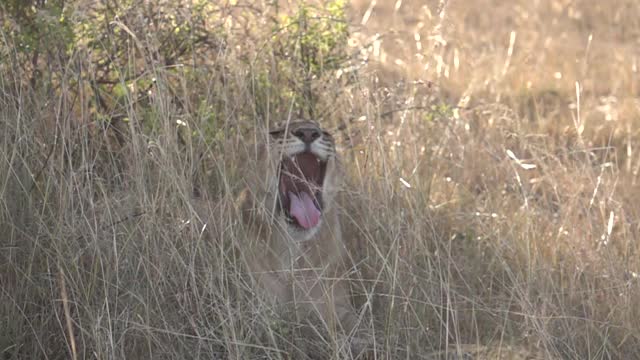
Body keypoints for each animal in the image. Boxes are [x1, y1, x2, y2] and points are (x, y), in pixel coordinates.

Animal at [236, 118, 368, 354]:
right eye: (276, 131)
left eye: (325, 133)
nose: (308, 133)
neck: (291, 251)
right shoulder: (256, 314)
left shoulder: (339, 307)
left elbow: (362, 334)